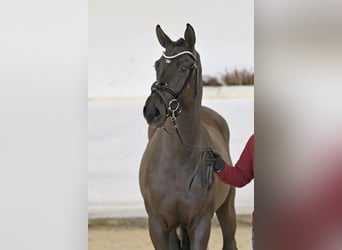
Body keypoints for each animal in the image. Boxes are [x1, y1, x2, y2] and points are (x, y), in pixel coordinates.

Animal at [139, 23, 238, 250]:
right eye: (157, 65)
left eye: (184, 67)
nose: (152, 110)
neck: (177, 161)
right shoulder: (158, 225)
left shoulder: (200, 223)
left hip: (227, 209)